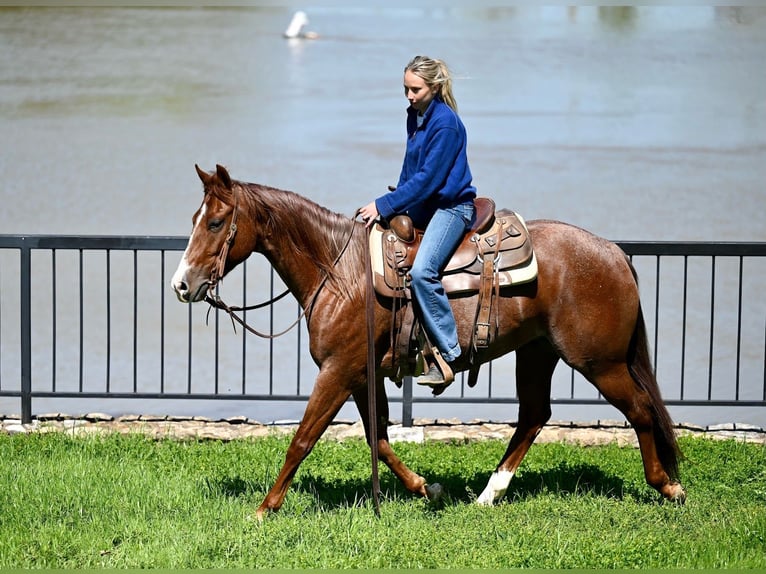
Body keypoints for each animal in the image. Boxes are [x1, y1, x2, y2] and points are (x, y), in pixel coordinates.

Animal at [171, 164, 688, 520]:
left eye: (215, 223)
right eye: (194, 218)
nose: (181, 284)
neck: (341, 272)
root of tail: (614, 253)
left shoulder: (337, 371)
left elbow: (303, 439)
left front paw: (264, 508)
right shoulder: (361, 374)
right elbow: (378, 439)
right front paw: (426, 488)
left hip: (599, 361)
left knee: (640, 410)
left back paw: (667, 486)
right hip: (538, 353)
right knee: (534, 416)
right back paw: (488, 494)